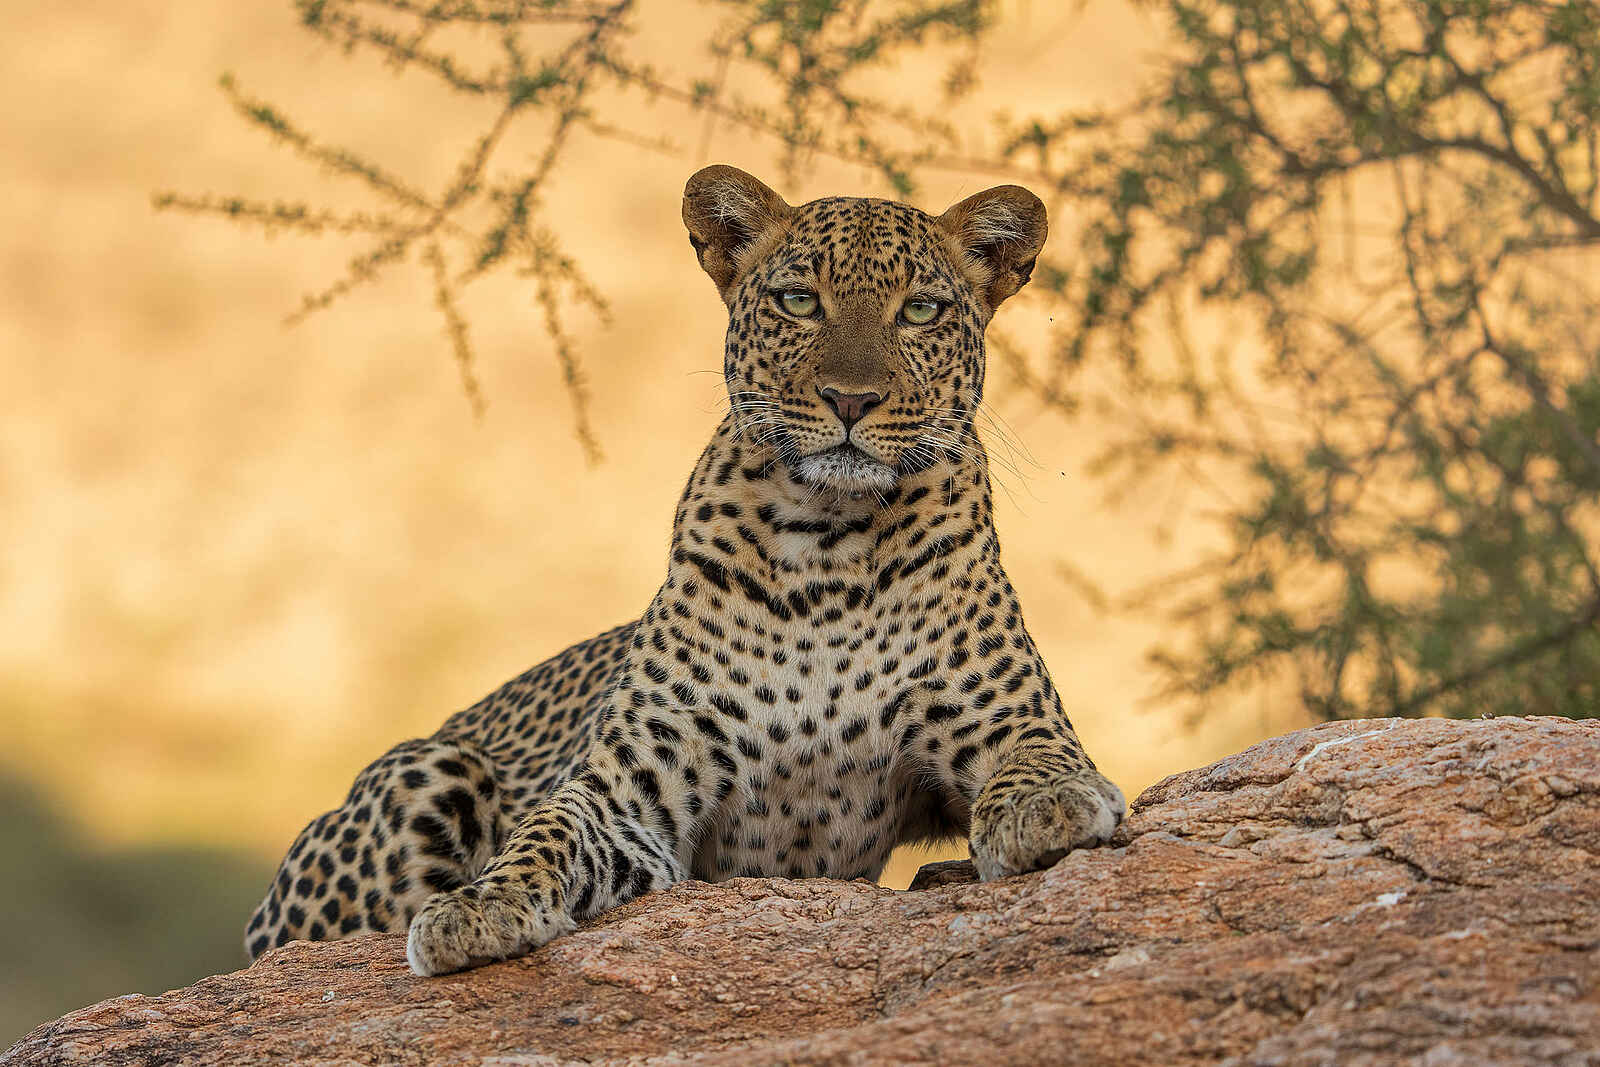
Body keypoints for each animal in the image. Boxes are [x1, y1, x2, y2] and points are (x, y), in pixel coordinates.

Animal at [244, 165, 1127, 977]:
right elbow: (545, 831)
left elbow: (1041, 759)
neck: (830, 546)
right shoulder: (630, 788)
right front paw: (482, 905)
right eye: (798, 301)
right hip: (428, 767)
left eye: (920, 310)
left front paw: (1049, 807)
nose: (850, 399)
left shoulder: (1013, 718)